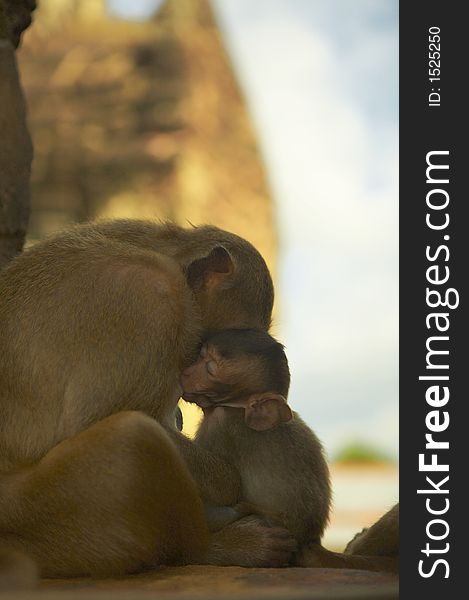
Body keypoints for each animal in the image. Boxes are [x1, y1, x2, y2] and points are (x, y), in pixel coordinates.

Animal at [0, 219, 294, 576]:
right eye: (207, 349)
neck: (163, 256)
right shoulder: (143, 300)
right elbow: (93, 420)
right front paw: (227, 483)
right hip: (33, 517)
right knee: (133, 436)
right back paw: (212, 549)